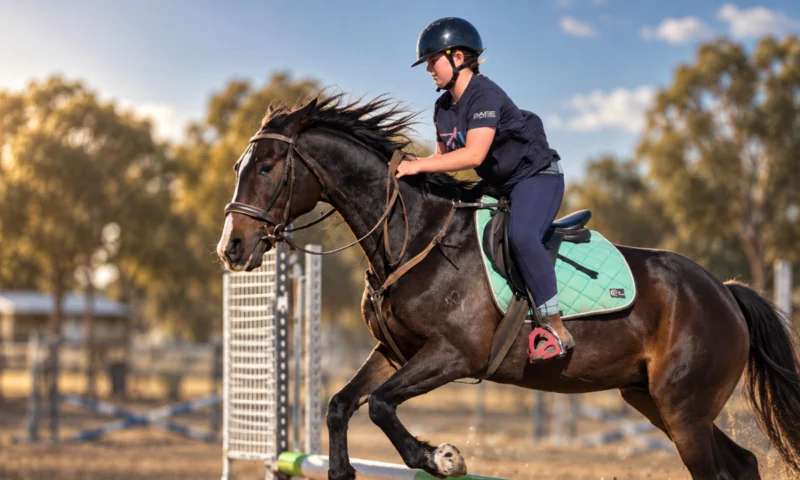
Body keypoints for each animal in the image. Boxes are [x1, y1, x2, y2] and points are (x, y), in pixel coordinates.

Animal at [217, 93, 800, 480]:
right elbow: (342, 404)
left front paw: (441, 457)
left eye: (266, 166)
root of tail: (725, 292)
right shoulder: (393, 352)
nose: (231, 248)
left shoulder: (455, 354)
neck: (413, 237)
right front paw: (343, 470)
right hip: (653, 400)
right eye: (242, 164)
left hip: (684, 408)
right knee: (742, 463)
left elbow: (381, 406)